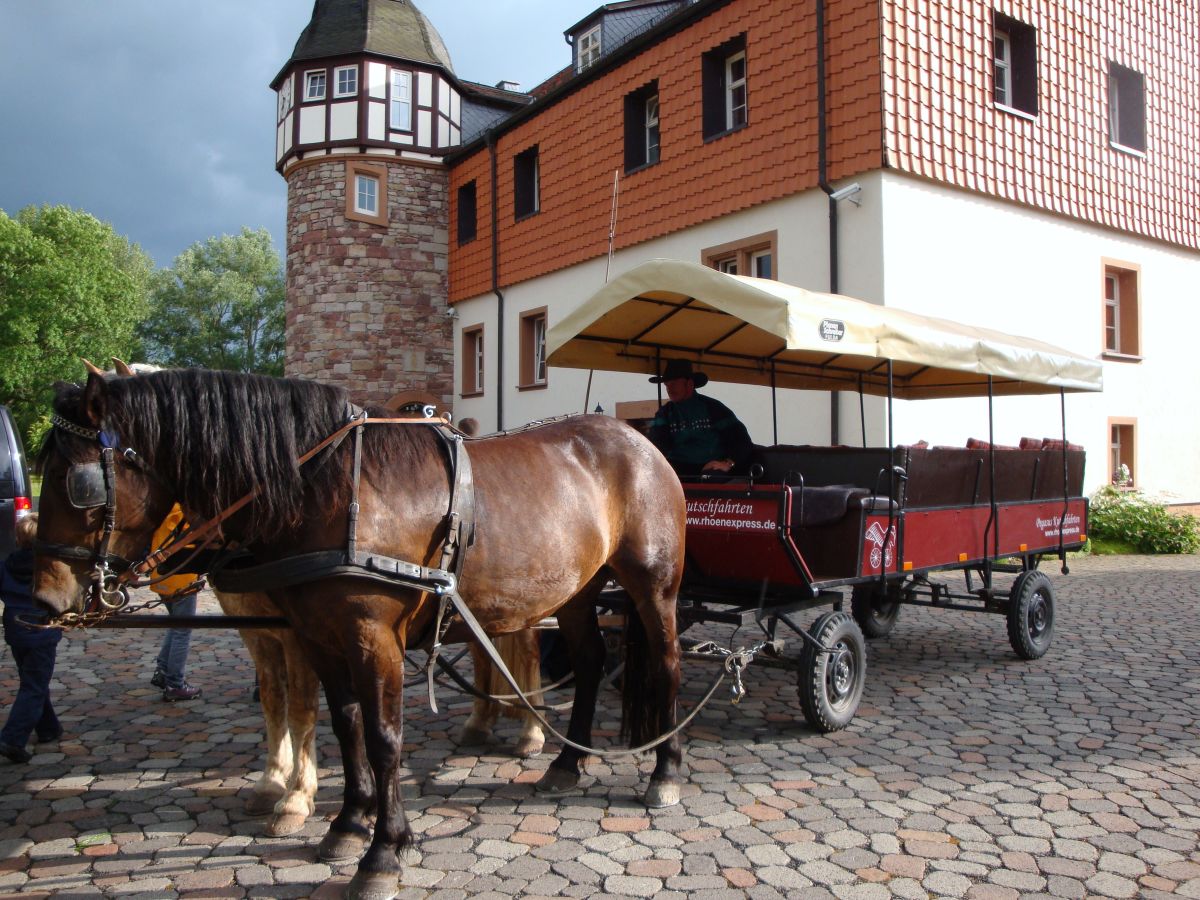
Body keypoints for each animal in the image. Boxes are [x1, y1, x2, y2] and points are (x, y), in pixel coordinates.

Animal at [35, 369, 686, 900]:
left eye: (79, 482)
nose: (46, 596)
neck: (324, 487)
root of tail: (638, 441)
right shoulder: (318, 636)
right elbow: (345, 726)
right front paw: (348, 824)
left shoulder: (373, 638)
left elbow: (382, 737)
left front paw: (383, 853)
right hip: (577, 589)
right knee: (592, 661)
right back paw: (568, 763)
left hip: (653, 585)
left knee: (666, 664)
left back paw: (665, 772)